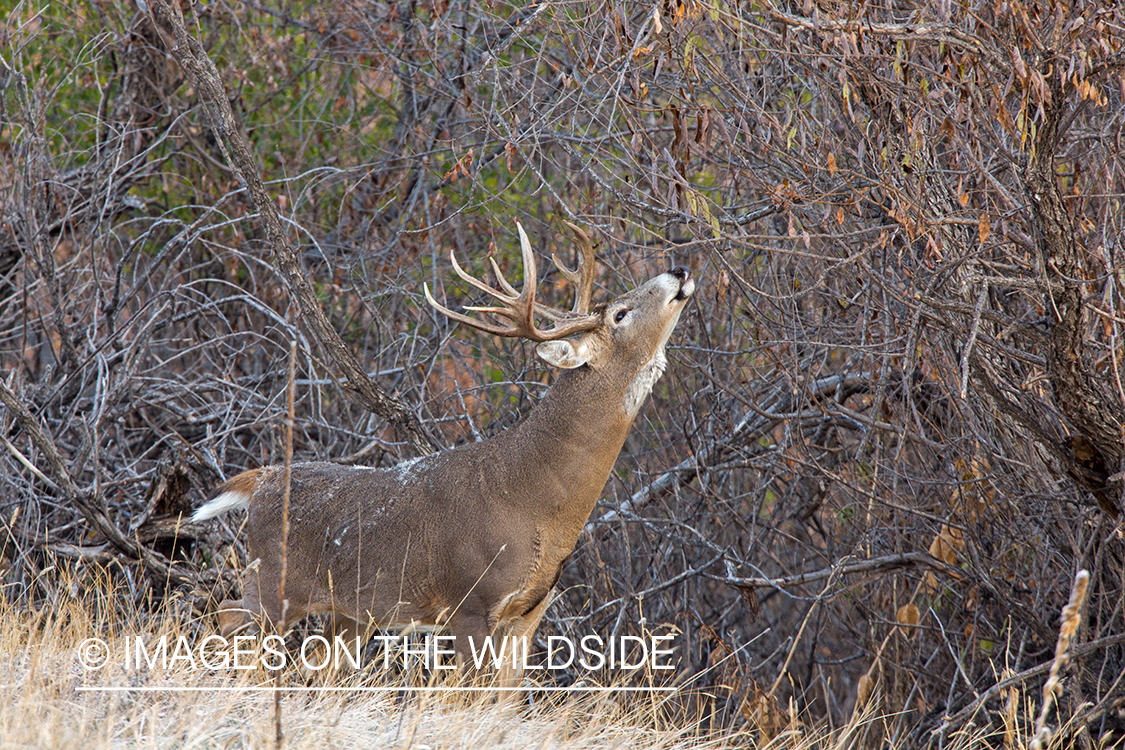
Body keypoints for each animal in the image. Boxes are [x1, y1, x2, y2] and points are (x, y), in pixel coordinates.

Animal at [195, 220, 693, 683]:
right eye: (620, 314)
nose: (679, 269)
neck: (537, 495)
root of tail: (261, 480)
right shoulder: (468, 602)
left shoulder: (529, 612)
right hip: (275, 584)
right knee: (226, 617)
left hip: (350, 612)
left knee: (313, 658)